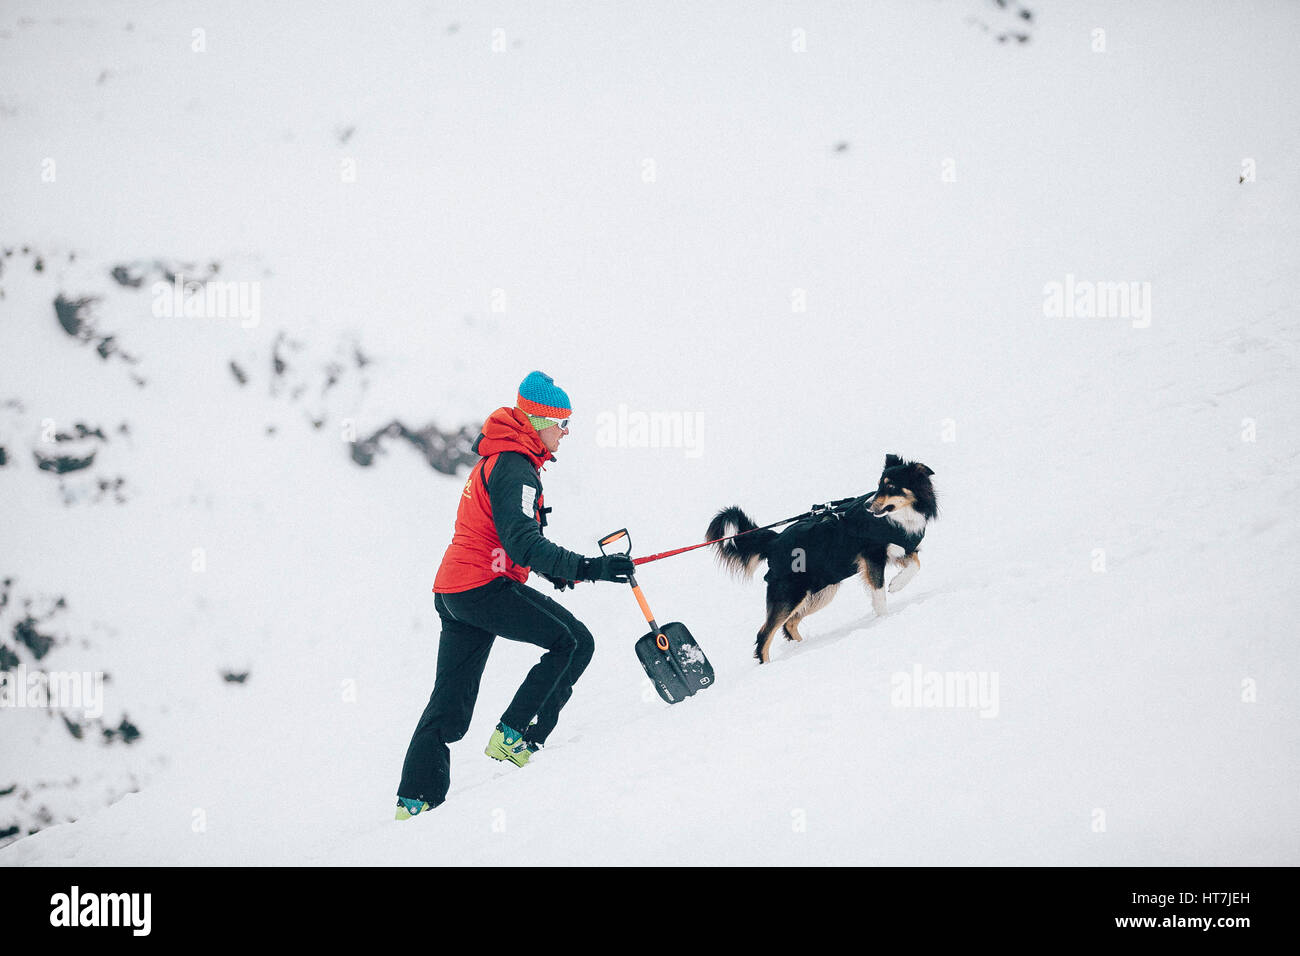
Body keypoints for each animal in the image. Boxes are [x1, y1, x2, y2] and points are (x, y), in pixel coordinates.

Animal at [712, 455, 935, 665]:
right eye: (879, 485)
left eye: (890, 486)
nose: (867, 505)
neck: (900, 516)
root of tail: (774, 540)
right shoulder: (872, 557)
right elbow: (879, 592)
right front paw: (884, 618)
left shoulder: (901, 548)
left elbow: (916, 565)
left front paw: (897, 584)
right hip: (790, 593)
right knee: (765, 634)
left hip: (821, 591)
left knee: (789, 624)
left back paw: (802, 648)